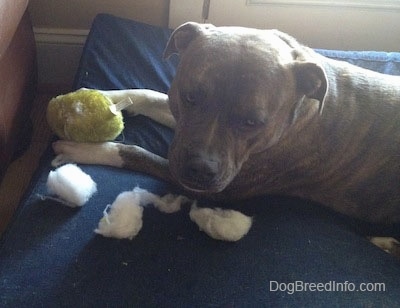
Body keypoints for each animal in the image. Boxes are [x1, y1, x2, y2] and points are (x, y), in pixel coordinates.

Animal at [52, 22, 400, 229]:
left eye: (253, 122)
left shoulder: (215, 188)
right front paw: (102, 99)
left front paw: (83, 148)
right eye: (190, 97)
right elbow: (148, 94)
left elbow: (135, 152)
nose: (200, 170)